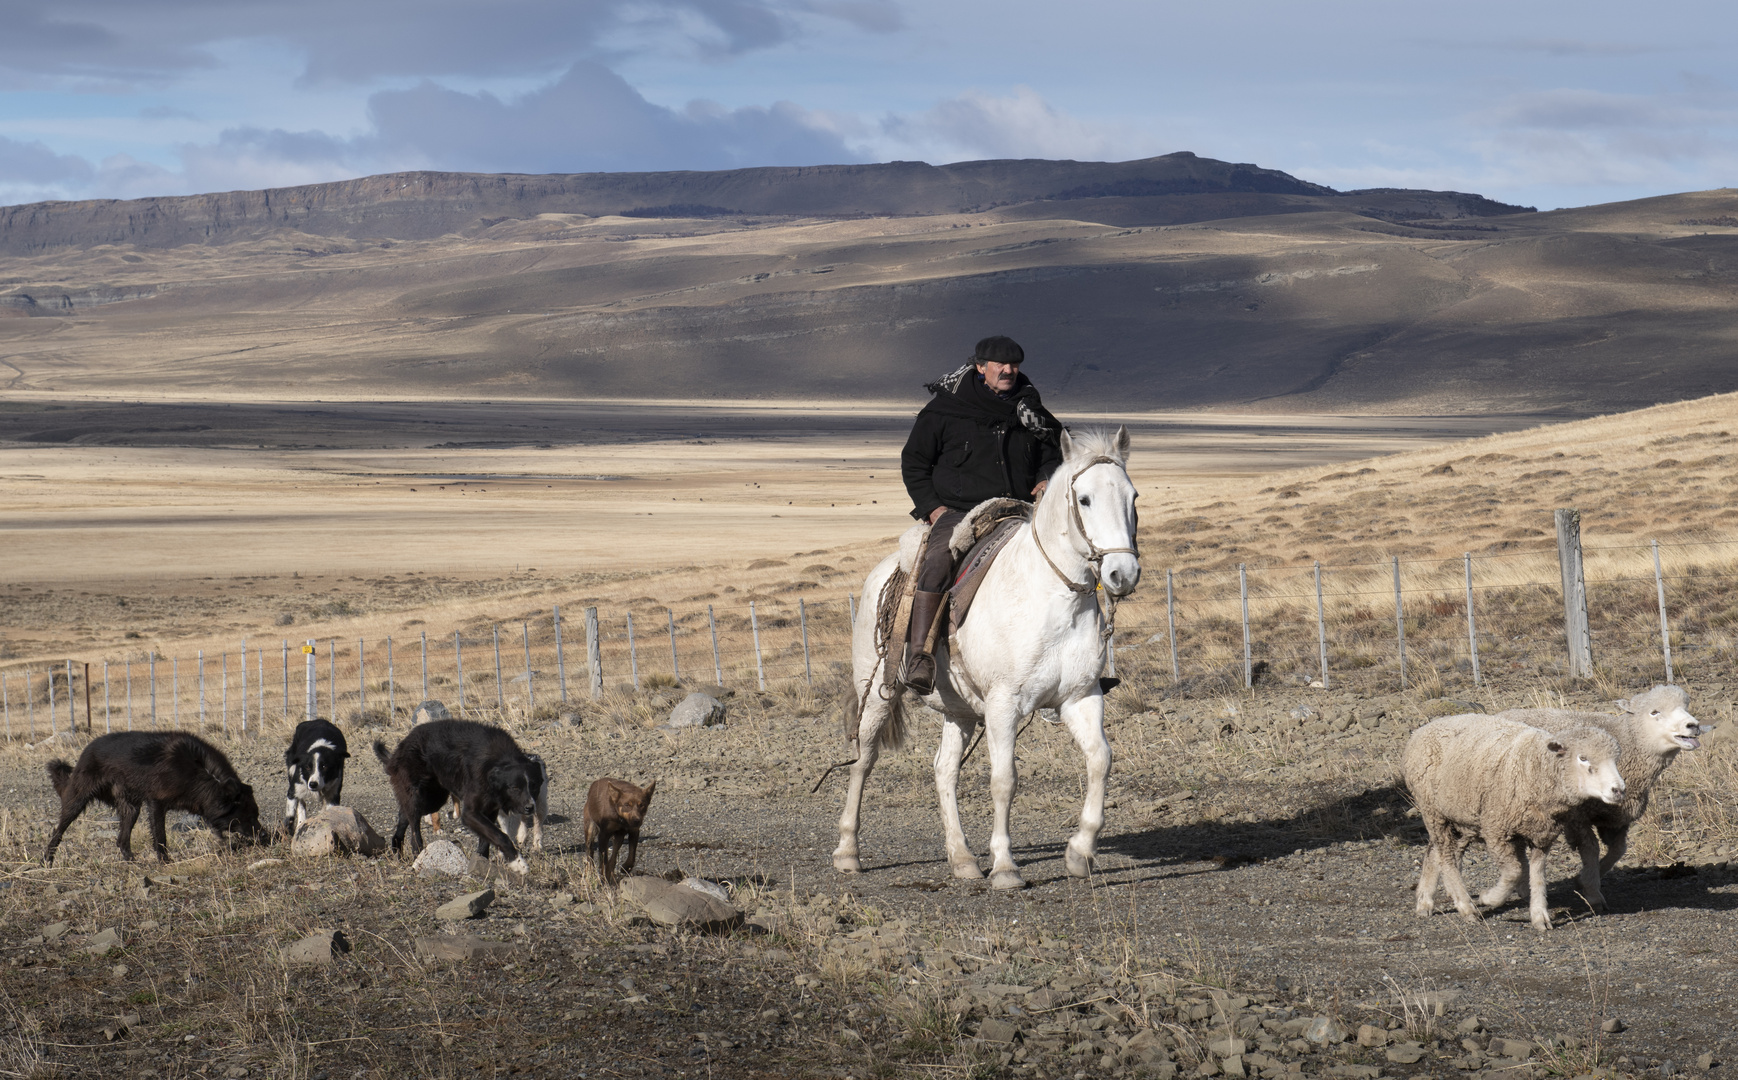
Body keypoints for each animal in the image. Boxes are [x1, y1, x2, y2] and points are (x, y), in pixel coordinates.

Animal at [41, 726, 267, 862]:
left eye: (256, 815)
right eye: (248, 816)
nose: (266, 836)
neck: (201, 771)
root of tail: (87, 748)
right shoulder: (157, 803)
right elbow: (160, 837)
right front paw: (165, 862)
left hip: (131, 808)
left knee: (122, 840)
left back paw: (132, 863)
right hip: (77, 801)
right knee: (58, 831)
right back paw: (47, 860)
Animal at [375, 720, 538, 873]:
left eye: (534, 786)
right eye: (515, 788)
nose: (530, 808)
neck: (497, 761)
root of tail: (401, 746)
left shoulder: (490, 810)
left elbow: (486, 838)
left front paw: (481, 861)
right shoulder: (470, 813)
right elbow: (500, 836)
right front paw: (518, 863)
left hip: (434, 798)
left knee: (404, 815)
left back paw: (398, 852)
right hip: (419, 796)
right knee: (414, 828)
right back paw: (417, 855)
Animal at [837, 426, 1140, 890]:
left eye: (1133, 497)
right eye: (1085, 499)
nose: (1122, 574)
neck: (1052, 598)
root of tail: (882, 572)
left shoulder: (1080, 698)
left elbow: (1100, 761)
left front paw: (1079, 852)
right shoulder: (1003, 704)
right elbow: (1004, 780)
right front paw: (1005, 867)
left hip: (958, 711)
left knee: (944, 770)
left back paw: (962, 859)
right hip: (876, 696)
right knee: (864, 760)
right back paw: (848, 851)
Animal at [1404, 713, 1619, 932]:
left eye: (1615, 759)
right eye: (1583, 758)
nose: (1618, 790)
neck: (1537, 768)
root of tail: (1422, 730)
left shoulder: (1542, 835)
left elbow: (1537, 875)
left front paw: (1539, 915)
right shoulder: (1496, 830)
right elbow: (1515, 872)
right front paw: (1489, 898)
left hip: (1457, 815)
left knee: (1433, 851)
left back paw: (1425, 900)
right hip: (1433, 810)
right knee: (1446, 857)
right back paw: (1466, 906)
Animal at [1501, 681, 1703, 911]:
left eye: (1686, 706)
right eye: (1655, 712)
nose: (1693, 725)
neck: (1628, 741)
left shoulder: (1617, 814)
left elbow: (1618, 850)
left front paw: (1585, 878)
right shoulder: (1577, 816)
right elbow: (1591, 848)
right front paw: (1591, 890)